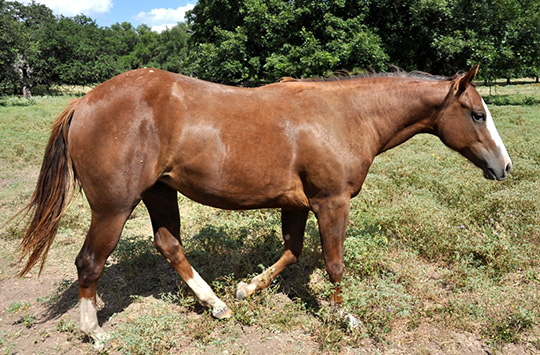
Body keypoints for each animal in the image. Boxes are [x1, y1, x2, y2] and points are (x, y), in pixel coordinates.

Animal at [17, 64, 510, 348]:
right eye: (477, 114)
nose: (504, 167)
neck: (345, 115)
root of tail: (85, 101)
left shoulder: (297, 204)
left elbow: (292, 251)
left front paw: (247, 289)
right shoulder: (331, 203)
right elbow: (333, 263)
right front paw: (344, 316)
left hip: (159, 192)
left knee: (168, 244)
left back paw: (216, 304)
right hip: (114, 207)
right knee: (89, 262)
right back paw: (95, 331)